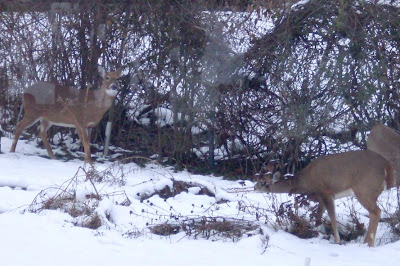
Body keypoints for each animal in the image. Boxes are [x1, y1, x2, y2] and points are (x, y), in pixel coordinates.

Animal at [255, 151, 396, 246]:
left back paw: (367, 244)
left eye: (265, 183)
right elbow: (318, 217)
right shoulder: (321, 198)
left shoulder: (326, 192)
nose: (255, 186)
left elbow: (331, 216)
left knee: (376, 212)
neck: (305, 181)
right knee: (374, 213)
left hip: (364, 189)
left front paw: (337, 240)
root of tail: (387, 165)